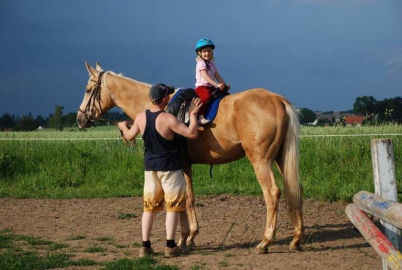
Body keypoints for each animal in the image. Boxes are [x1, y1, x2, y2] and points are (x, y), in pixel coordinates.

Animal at [77, 61, 304, 253]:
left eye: (88, 90)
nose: (80, 118)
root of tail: (278, 100)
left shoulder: (177, 165)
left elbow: (182, 199)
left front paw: (183, 239)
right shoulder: (185, 165)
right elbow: (188, 198)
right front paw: (189, 236)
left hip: (261, 161)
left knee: (272, 193)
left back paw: (265, 242)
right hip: (281, 159)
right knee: (295, 190)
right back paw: (296, 239)